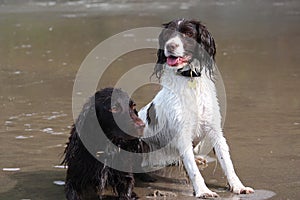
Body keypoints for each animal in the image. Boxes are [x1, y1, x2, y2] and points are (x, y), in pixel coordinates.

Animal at [138, 19, 253, 198]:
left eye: (188, 33)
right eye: (168, 34)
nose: (170, 46)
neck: (190, 79)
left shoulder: (215, 130)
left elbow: (227, 162)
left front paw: (238, 186)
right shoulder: (182, 134)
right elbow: (192, 169)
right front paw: (203, 191)